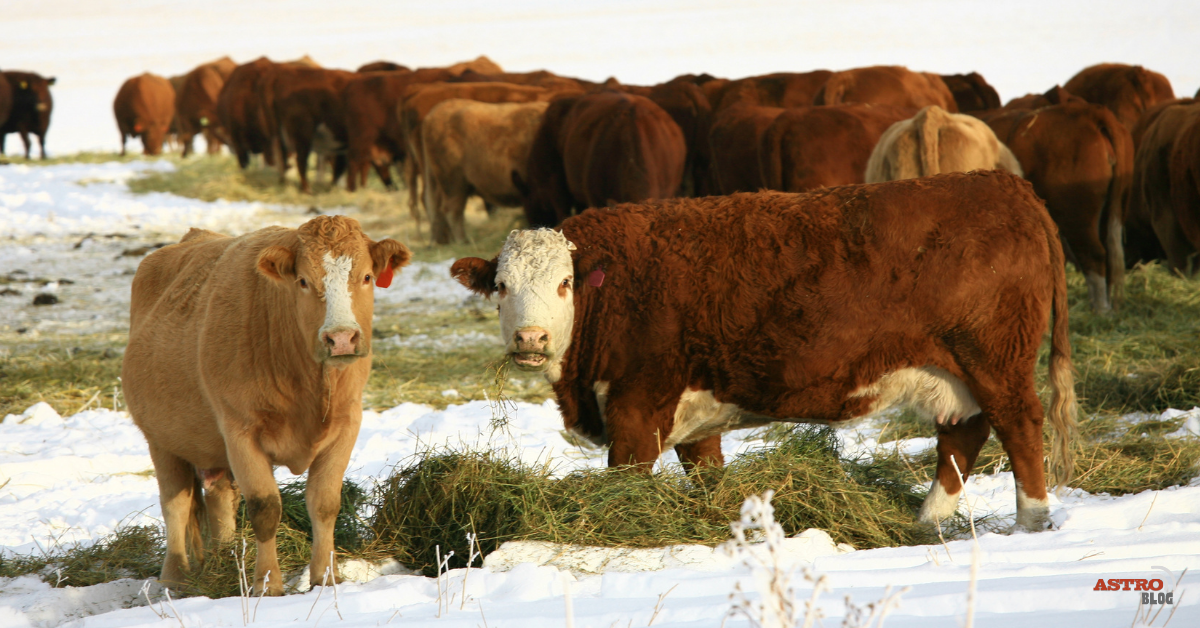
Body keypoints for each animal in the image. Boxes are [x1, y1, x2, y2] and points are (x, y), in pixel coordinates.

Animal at [122, 216, 412, 595]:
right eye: (303, 281)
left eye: (366, 276)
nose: (341, 338)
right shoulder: (239, 432)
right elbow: (265, 507)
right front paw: (266, 584)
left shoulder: (347, 425)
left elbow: (325, 504)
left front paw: (326, 577)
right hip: (161, 440)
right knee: (176, 504)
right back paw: (175, 578)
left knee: (218, 498)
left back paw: (225, 559)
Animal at [453, 170, 1084, 530]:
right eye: (502, 286)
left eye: (565, 284)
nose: (530, 339)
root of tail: (1007, 186)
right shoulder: (695, 413)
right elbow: (707, 477)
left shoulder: (636, 408)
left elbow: (626, 480)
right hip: (957, 373)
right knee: (963, 435)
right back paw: (926, 522)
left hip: (995, 361)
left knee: (1019, 426)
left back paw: (1031, 521)